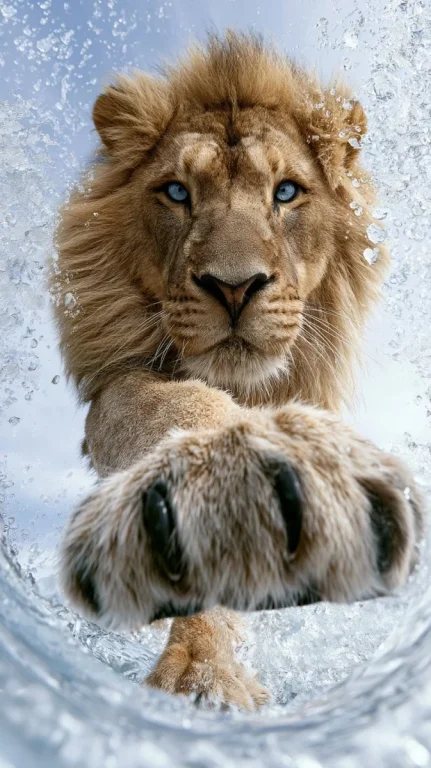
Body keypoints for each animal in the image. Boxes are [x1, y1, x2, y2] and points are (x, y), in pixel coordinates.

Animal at [52, 33, 424, 710]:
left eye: (286, 192)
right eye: (177, 192)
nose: (234, 286)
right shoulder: (118, 388)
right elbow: (165, 412)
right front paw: (200, 671)